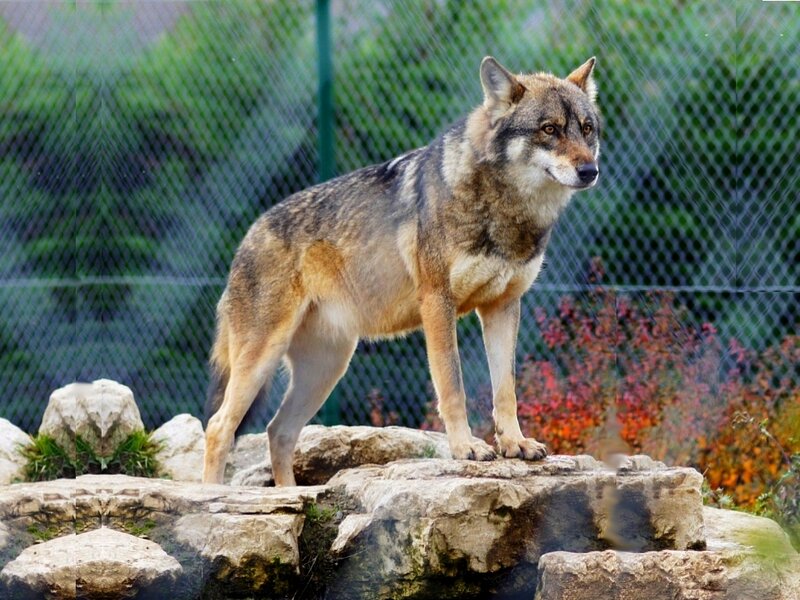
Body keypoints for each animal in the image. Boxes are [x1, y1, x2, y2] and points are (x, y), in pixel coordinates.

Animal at [203, 56, 601, 486]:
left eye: (587, 128)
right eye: (549, 129)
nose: (590, 170)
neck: (505, 212)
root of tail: (247, 238)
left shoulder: (503, 307)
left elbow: (505, 390)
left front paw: (515, 444)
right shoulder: (438, 305)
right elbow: (452, 386)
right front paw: (467, 448)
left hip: (326, 368)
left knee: (279, 431)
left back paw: (288, 495)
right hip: (263, 359)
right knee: (219, 427)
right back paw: (213, 494)